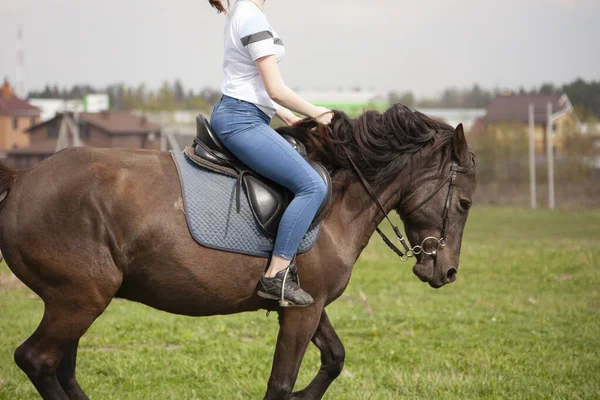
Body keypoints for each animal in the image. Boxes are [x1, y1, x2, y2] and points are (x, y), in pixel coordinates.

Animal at [0, 104, 478, 398]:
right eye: (465, 203)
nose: (447, 272)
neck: (338, 202)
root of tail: (23, 180)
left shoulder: (307, 304)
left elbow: (335, 358)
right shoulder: (302, 313)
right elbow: (281, 384)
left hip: (74, 303)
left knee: (61, 368)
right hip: (78, 299)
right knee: (37, 359)